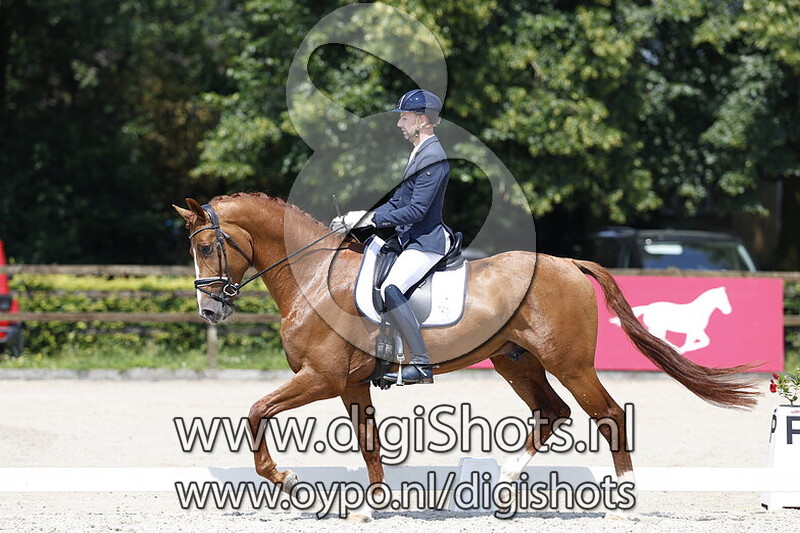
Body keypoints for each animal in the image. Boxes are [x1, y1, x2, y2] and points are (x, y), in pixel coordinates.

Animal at [173, 192, 759, 516]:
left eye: (205, 246)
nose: (209, 310)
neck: (316, 277)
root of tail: (567, 262)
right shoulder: (350, 384)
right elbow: (368, 444)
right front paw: (370, 508)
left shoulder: (323, 377)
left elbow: (255, 412)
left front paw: (285, 479)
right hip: (516, 360)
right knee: (551, 412)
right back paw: (503, 487)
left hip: (570, 364)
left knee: (608, 414)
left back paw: (622, 502)